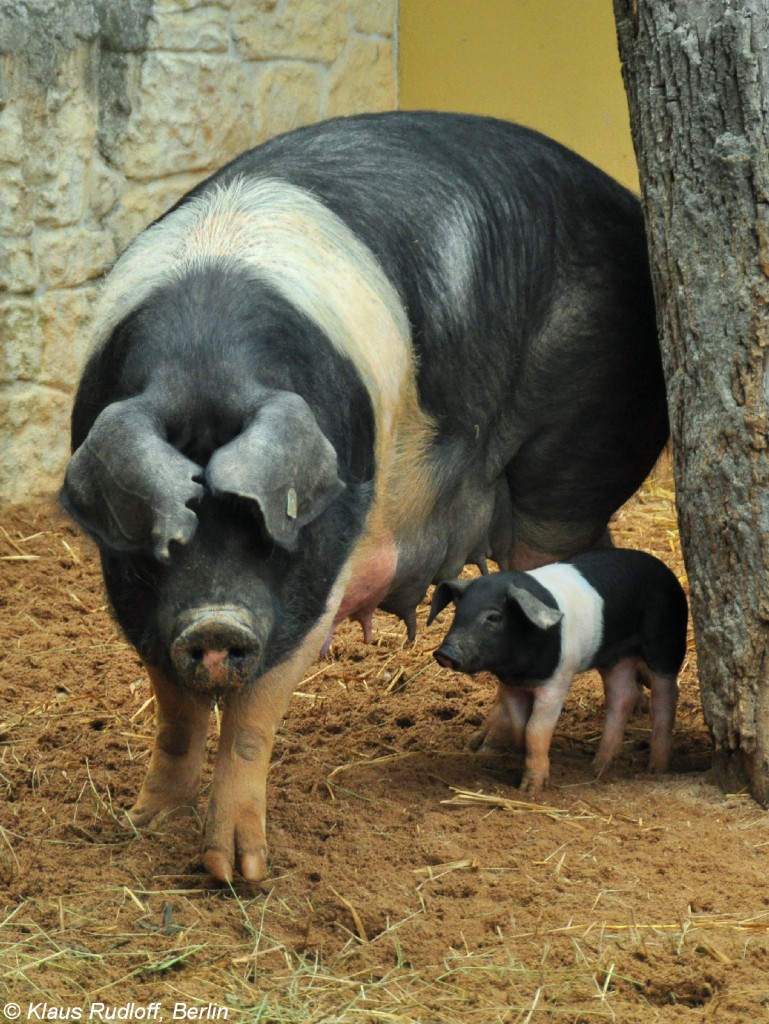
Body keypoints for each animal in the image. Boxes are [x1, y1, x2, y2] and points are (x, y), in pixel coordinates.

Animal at [60, 110, 667, 880]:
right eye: (166, 543)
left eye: (268, 535)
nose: (215, 625)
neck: (205, 366)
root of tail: (626, 202)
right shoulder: (133, 596)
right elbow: (176, 712)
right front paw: (144, 823)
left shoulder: (319, 573)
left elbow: (254, 713)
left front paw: (238, 873)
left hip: (572, 456)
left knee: (551, 581)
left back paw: (495, 751)